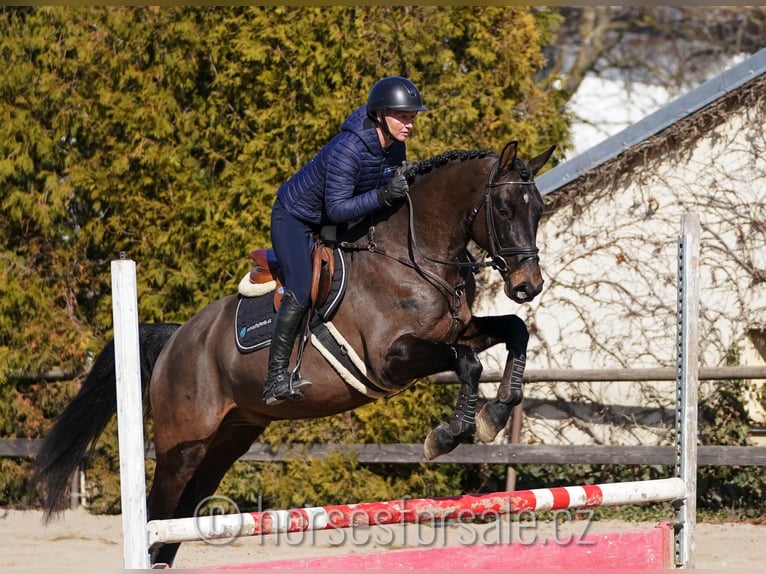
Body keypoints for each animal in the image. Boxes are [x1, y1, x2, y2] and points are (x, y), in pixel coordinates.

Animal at [33, 141, 556, 568]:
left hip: (230, 436)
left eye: (540, 208)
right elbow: (468, 363)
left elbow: (513, 332)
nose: (527, 286)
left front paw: (496, 411)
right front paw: (452, 433)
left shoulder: (458, 331)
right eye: (504, 207)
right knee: (159, 514)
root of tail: (178, 338)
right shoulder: (392, 359)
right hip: (183, 444)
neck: (415, 255)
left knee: (180, 517)